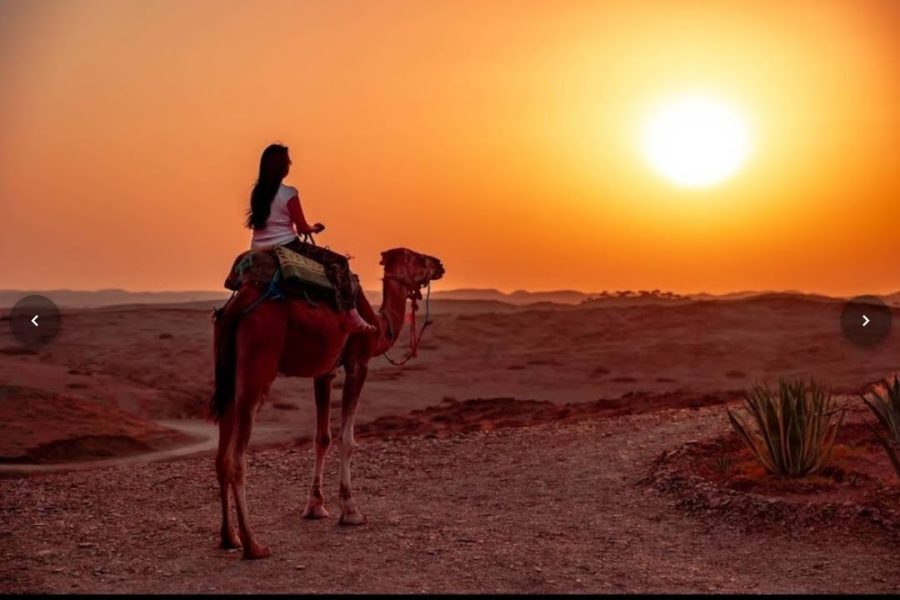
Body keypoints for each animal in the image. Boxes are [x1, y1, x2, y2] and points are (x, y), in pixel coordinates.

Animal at [208, 245, 446, 556]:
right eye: (418, 257)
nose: (439, 264)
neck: (379, 327)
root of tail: (237, 306)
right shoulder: (358, 362)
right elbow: (346, 439)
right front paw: (351, 511)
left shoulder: (324, 372)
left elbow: (322, 438)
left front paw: (315, 507)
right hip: (256, 366)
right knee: (236, 457)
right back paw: (254, 545)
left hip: (226, 372)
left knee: (220, 455)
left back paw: (229, 537)